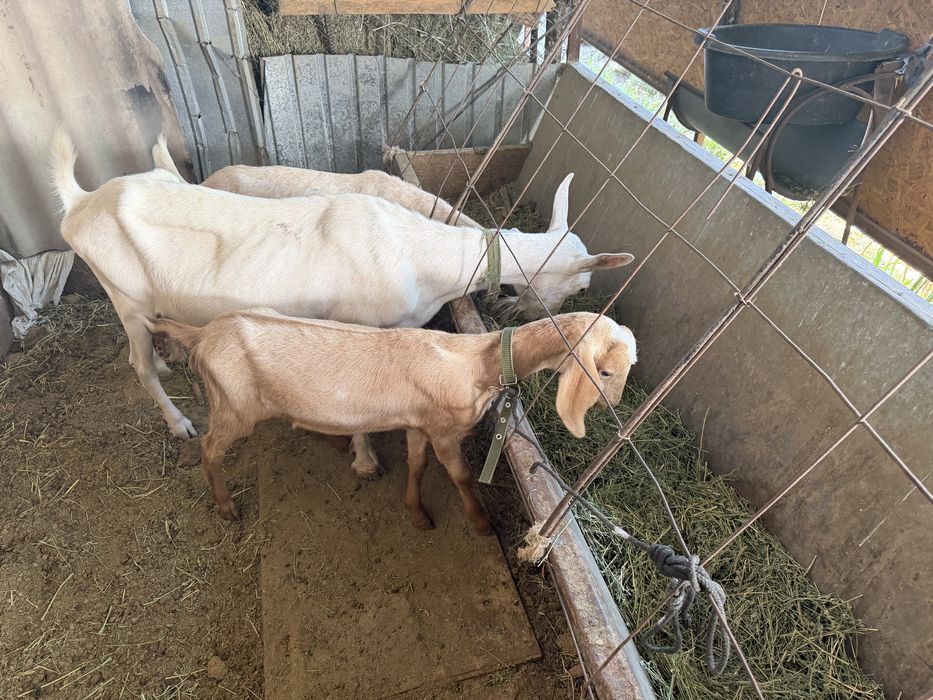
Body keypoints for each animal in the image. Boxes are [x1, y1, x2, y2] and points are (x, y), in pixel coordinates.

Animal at [147, 310, 637, 531]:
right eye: (606, 372)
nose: (615, 408)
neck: (477, 363)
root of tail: (203, 332)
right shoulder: (443, 430)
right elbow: (461, 474)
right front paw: (480, 521)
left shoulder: (418, 424)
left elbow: (417, 466)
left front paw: (417, 513)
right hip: (233, 406)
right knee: (209, 447)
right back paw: (226, 505)